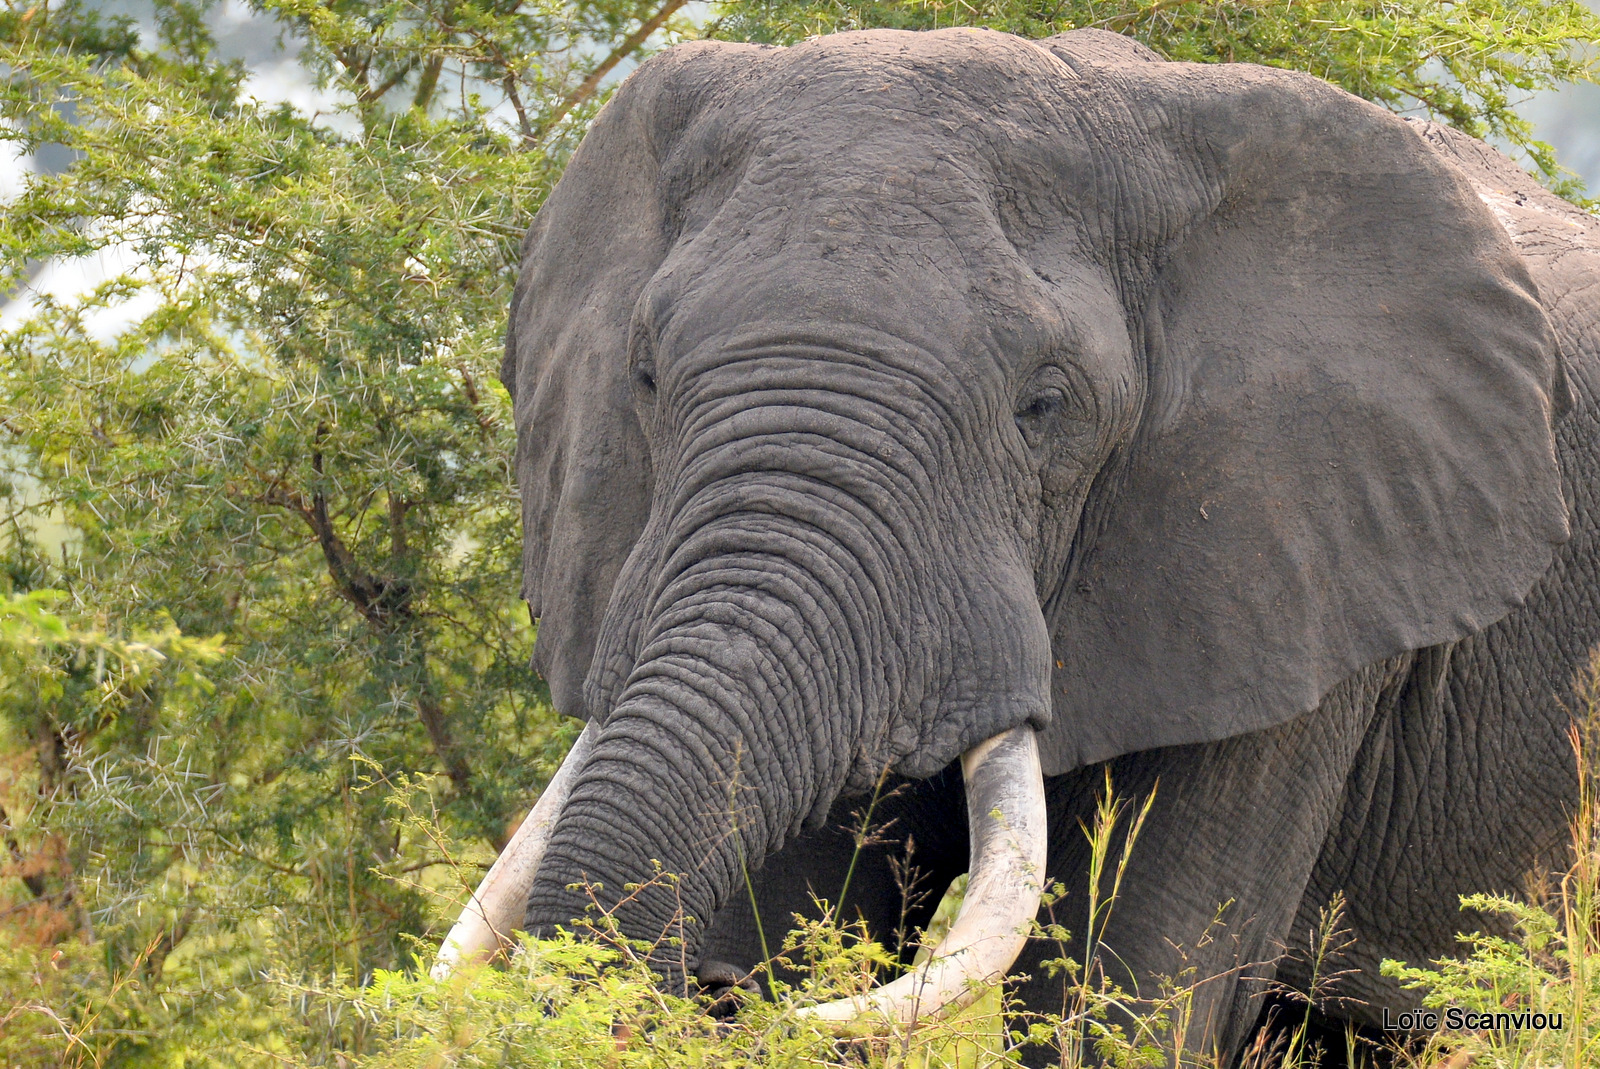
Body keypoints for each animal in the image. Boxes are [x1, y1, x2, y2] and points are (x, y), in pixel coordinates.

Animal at [435, 25, 1600, 1062]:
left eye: (1044, 405)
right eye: (642, 376)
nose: (712, 987)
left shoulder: (1300, 564)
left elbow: (1120, 990)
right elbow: (790, 894)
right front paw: (758, 971)